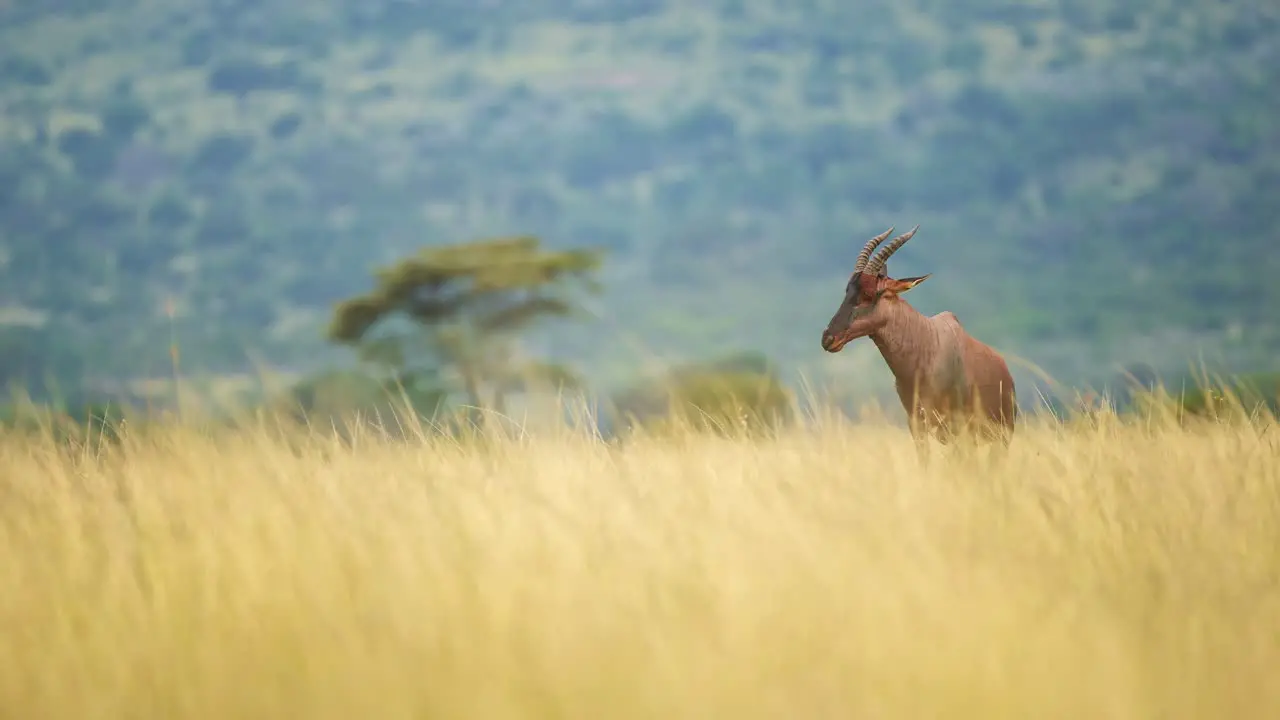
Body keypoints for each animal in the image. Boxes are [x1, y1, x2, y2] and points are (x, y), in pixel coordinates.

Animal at [819, 224, 1018, 456]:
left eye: (869, 294)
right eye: (848, 290)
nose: (828, 338)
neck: (927, 346)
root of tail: (1006, 373)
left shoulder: (956, 430)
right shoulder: (917, 426)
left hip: (999, 437)